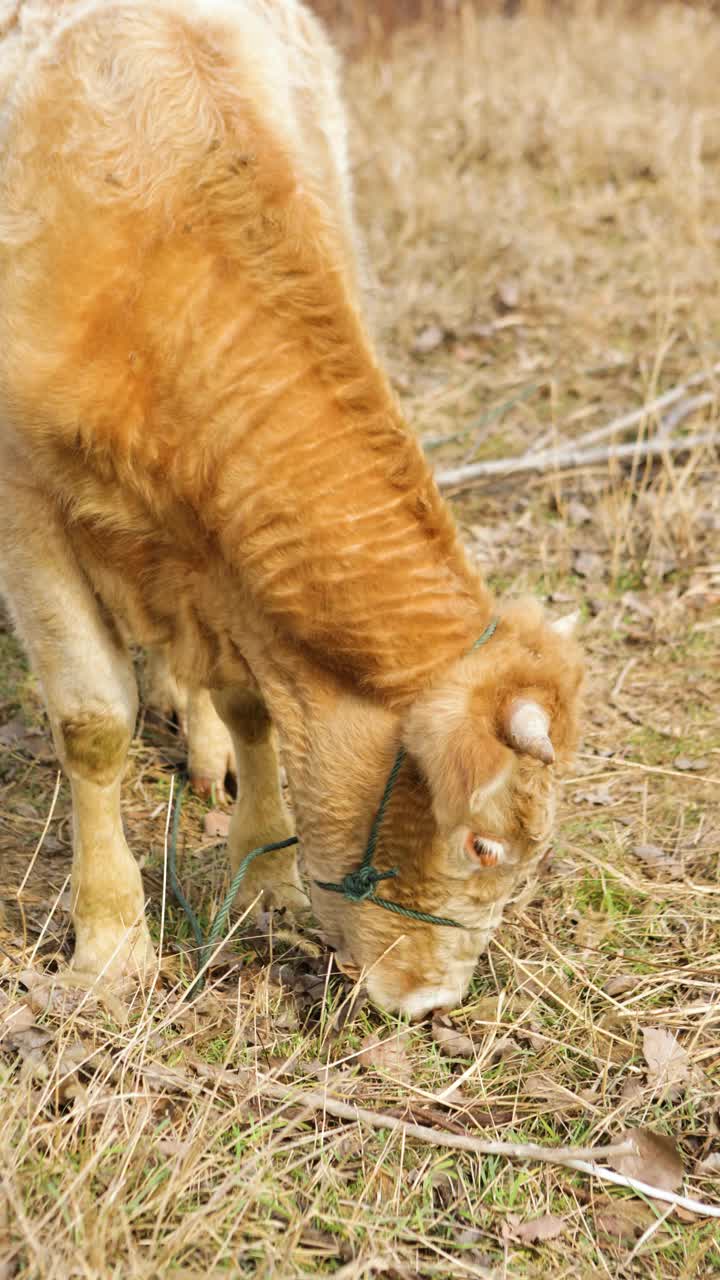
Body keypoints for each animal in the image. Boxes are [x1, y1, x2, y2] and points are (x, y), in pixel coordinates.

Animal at [0, 2, 579, 1018]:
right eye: (482, 842)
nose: (430, 1004)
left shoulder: (228, 570)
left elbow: (251, 703)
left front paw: (263, 872)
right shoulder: (27, 500)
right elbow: (93, 721)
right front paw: (110, 944)